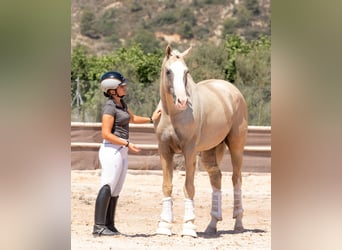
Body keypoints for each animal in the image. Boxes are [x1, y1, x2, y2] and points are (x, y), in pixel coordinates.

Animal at [154, 46, 247, 237]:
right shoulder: (164, 150)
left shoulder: (189, 151)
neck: (173, 115)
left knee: (236, 179)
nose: (182, 101)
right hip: (210, 151)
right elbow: (167, 186)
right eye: (168, 71)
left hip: (236, 146)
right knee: (216, 177)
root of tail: (232, 91)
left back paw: (238, 223)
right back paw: (212, 225)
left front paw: (189, 227)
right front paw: (164, 227)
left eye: (186, 72)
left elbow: (189, 187)